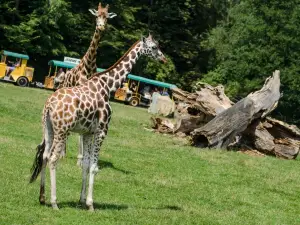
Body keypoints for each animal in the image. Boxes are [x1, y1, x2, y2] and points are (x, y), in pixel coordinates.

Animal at [29, 34, 168, 210]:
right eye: (154, 47)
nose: (164, 59)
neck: (108, 86)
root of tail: (49, 105)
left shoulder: (88, 132)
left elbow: (86, 164)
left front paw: (81, 200)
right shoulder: (102, 130)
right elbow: (94, 167)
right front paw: (90, 204)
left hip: (48, 129)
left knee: (45, 156)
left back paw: (42, 197)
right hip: (62, 130)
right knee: (53, 159)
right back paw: (54, 202)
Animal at [53, 2, 116, 165]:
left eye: (107, 17)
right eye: (96, 15)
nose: (101, 26)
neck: (88, 66)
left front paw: (82, 158)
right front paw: (80, 159)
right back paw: (62, 153)